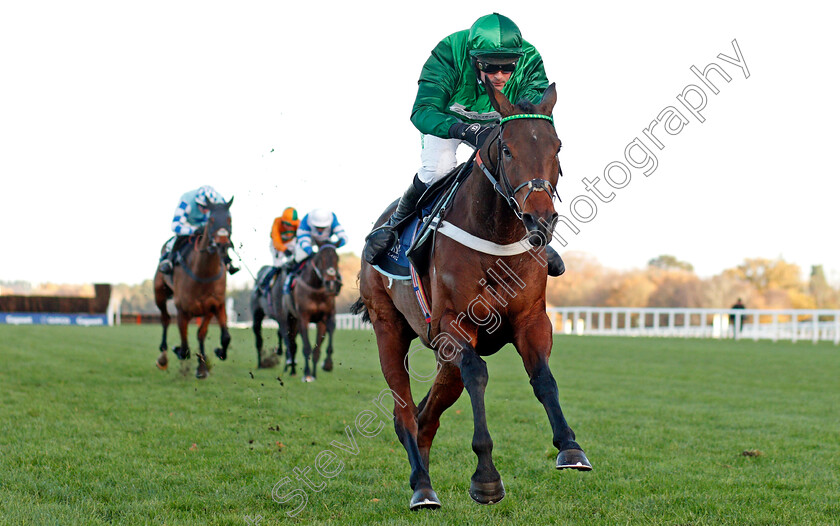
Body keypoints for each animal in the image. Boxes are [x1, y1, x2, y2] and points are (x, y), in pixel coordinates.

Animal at [153, 201, 233, 380]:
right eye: (211, 219)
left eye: (229, 218)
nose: (222, 244)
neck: (203, 274)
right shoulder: (182, 310)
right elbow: (184, 348)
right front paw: (177, 350)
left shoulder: (215, 306)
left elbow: (221, 336)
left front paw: (207, 362)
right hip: (159, 294)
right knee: (165, 319)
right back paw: (163, 357)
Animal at [282, 248, 342, 384]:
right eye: (321, 259)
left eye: (337, 258)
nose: (331, 283)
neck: (316, 289)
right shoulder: (303, 318)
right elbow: (307, 347)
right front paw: (307, 374)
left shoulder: (326, 317)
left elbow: (320, 346)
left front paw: (326, 365)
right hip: (290, 319)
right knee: (291, 343)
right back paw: (292, 370)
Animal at [352, 82, 588, 512]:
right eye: (507, 149)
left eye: (557, 146)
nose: (540, 219)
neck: (496, 236)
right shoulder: (454, 325)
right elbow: (478, 374)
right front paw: (486, 477)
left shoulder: (531, 319)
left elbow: (544, 379)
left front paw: (570, 446)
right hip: (388, 328)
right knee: (404, 412)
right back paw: (422, 487)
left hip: (444, 361)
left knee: (427, 416)